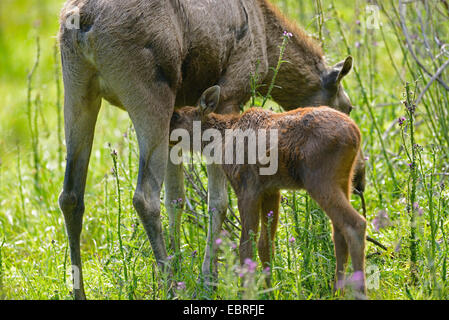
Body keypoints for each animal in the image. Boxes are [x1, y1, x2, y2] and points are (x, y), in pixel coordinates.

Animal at [170, 86, 366, 296]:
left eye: (176, 115)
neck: (221, 140)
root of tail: (356, 133)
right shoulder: (271, 190)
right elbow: (266, 245)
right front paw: (268, 290)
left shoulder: (247, 187)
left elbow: (246, 246)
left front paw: (245, 291)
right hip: (344, 181)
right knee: (338, 231)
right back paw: (337, 291)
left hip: (319, 179)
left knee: (355, 224)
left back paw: (359, 291)